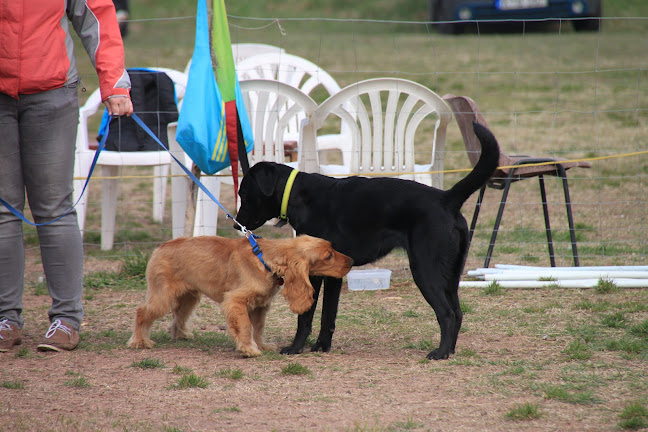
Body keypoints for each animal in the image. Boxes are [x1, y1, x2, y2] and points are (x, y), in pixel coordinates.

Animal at [235, 120, 498, 358]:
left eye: (244, 193)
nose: (236, 222)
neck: (298, 194)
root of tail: (447, 198)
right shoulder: (333, 274)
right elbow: (328, 316)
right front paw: (322, 347)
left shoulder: (313, 273)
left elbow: (306, 316)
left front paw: (295, 348)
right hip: (451, 275)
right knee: (458, 312)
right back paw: (450, 350)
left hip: (425, 270)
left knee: (447, 313)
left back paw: (440, 353)